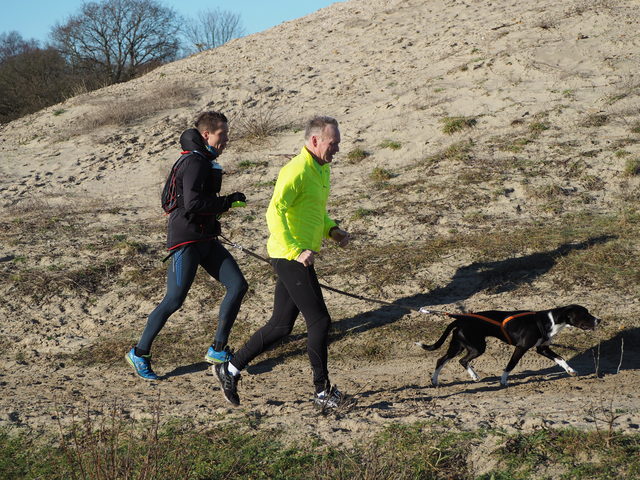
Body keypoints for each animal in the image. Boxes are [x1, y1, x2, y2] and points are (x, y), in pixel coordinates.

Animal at [416, 306, 600, 388]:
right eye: (585, 314)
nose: (599, 320)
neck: (549, 321)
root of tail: (459, 319)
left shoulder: (542, 349)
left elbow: (561, 359)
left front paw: (571, 370)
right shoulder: (521, 348)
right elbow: (510, 365)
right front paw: (503, 380)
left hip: (459, 346)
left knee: (444, 360)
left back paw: (437, 380)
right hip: (477, 347)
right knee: (459, 360)